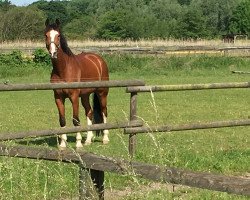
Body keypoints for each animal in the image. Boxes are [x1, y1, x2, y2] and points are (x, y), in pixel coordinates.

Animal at [45, 19, 109, 148]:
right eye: (46, 35)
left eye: (58, 35)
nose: (53, 53)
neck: (63, 70)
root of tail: (99, 60)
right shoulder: (58, 97)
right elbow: (62, 120)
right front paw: (62, 144)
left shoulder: (74, 97)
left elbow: (75, 119)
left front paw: (78, 143)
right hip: (85, 95)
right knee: (89, 112)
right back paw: (88, 140)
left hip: (102, 93)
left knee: (104, 112)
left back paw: (105, 138)